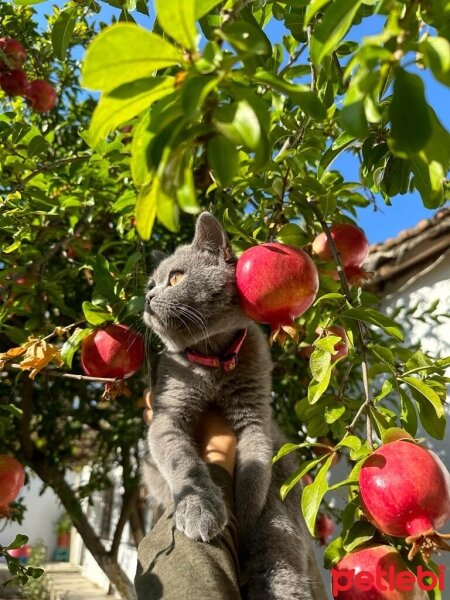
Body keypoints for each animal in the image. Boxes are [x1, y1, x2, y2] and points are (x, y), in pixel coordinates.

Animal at [141, 213, 324, 600]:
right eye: (150, 284)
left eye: (175, 278)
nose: (147, 297)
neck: (214, 358)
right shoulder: (166, 415)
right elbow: (183, 461)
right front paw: (200, 510)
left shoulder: (255, 416)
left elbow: (255, 471)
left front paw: (245, 515)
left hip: (282, 538)